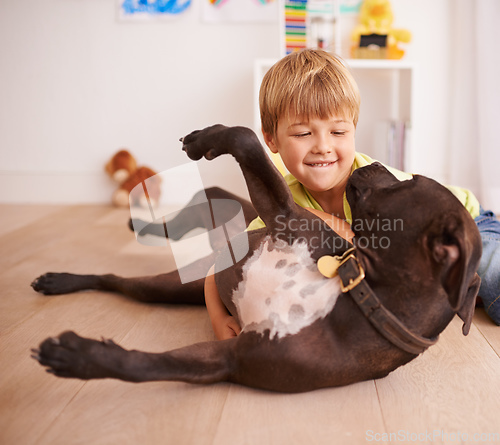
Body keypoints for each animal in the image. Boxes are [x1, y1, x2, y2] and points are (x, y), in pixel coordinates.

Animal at [30, 123, 480, 390]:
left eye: (411, 180)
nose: (375, 162)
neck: (357, 288)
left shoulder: (229, 358)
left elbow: (145, 367)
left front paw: (80, 357)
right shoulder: (285, 216)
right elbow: (246, 137)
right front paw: (207, 138)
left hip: (172, 289)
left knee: (125, 280)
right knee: (128, 265)